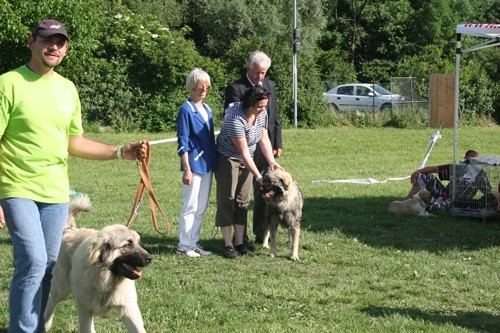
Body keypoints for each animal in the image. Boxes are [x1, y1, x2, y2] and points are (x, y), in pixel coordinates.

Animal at [44, 193, 150, 332]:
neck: (105, 280)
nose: (149, 258)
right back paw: (45, 323)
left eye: (138, 243)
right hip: (62, 288)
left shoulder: (128, 308)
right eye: (127, 245)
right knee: (52, 300)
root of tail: (70, 229)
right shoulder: (84, 307)